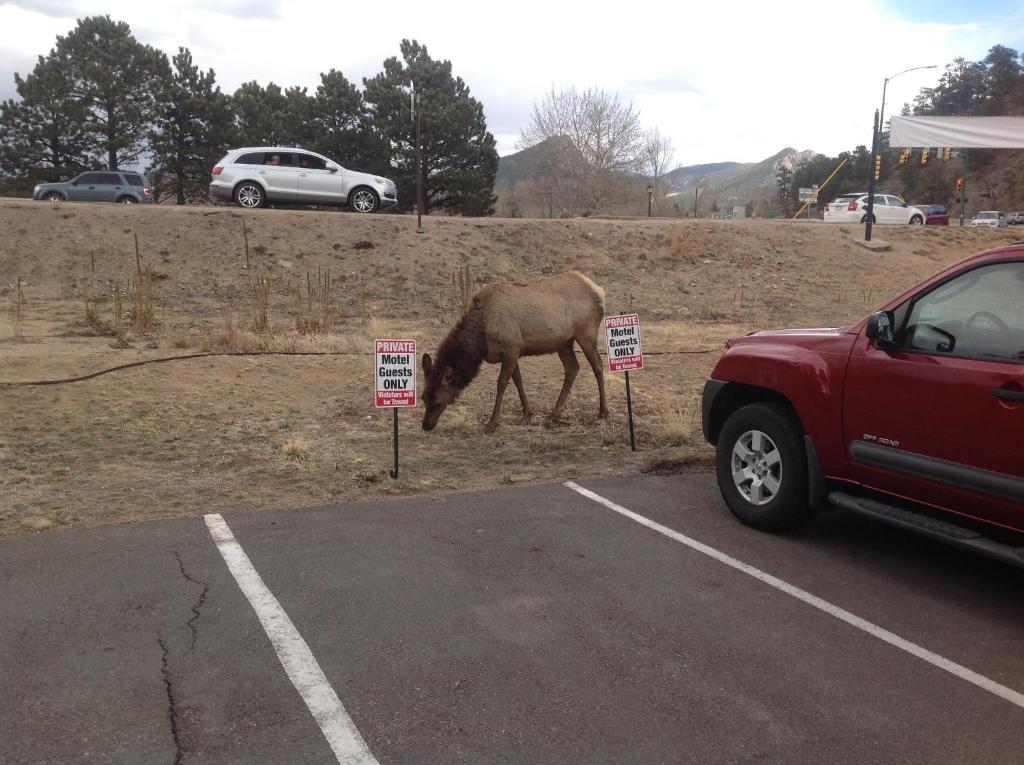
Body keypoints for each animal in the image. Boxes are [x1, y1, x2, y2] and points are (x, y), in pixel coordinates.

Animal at [417, 272, 602, 434]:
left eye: (438, 401)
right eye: (423, 397)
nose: (426, 425)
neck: (481, 340)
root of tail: (600, 291)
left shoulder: (511, 348)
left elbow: (502, 384)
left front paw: (492, 423)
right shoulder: (513, 351)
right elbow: (517, 379)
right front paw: (527, 413)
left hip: (587, 334)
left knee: (598, 366)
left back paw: (602, 411)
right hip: (564, 342)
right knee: (572, 368)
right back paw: (554, 414)